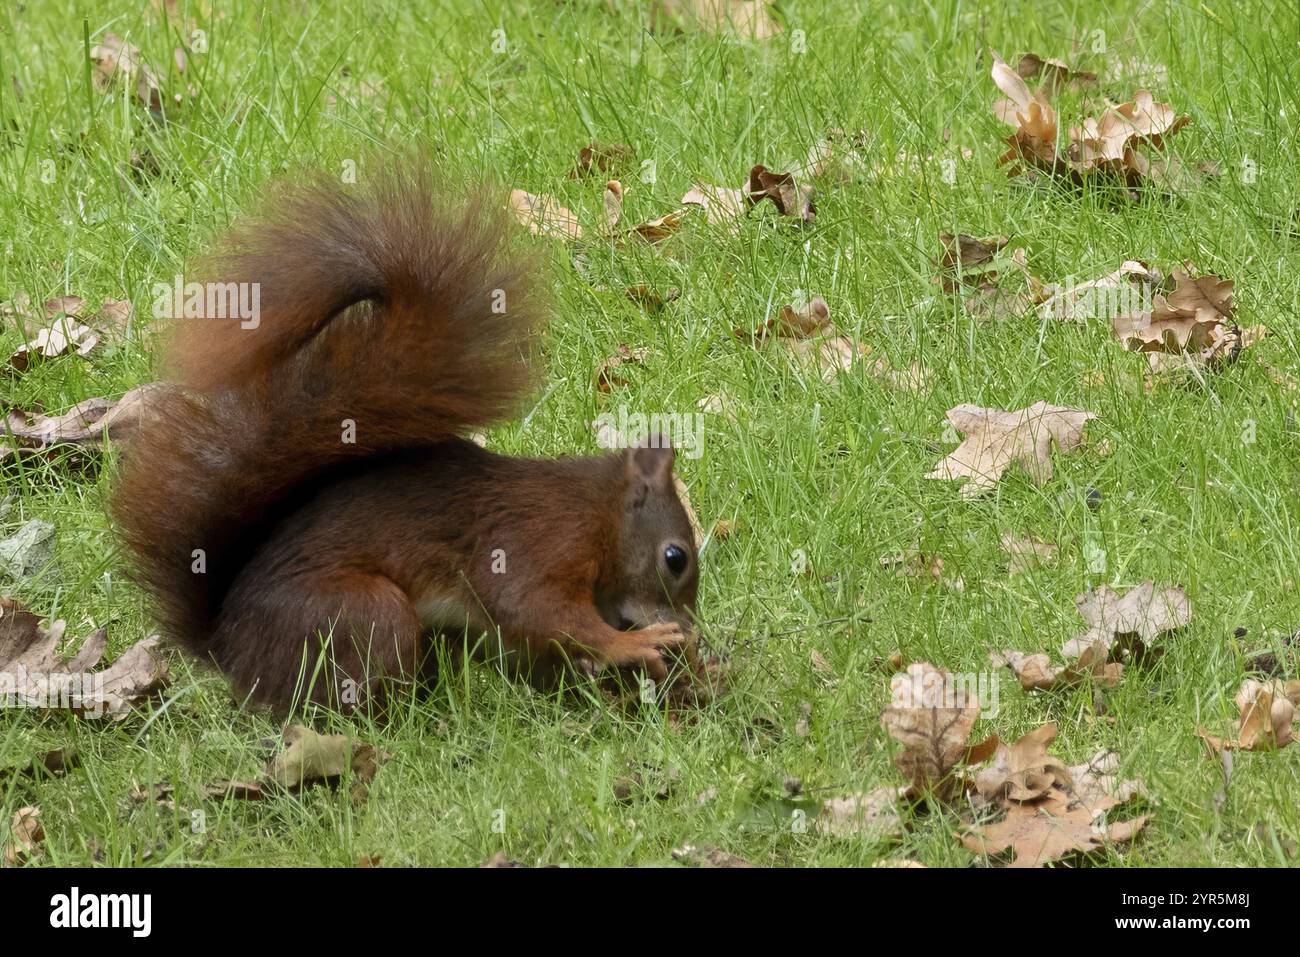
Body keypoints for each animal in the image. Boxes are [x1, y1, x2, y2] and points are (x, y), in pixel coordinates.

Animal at [112, 159, 702, 713]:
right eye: (675, 557)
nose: (691, 629)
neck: (600, 512)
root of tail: (229, 651)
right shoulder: (539, 544)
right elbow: (539, 612)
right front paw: (638, 645)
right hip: (366, 613)